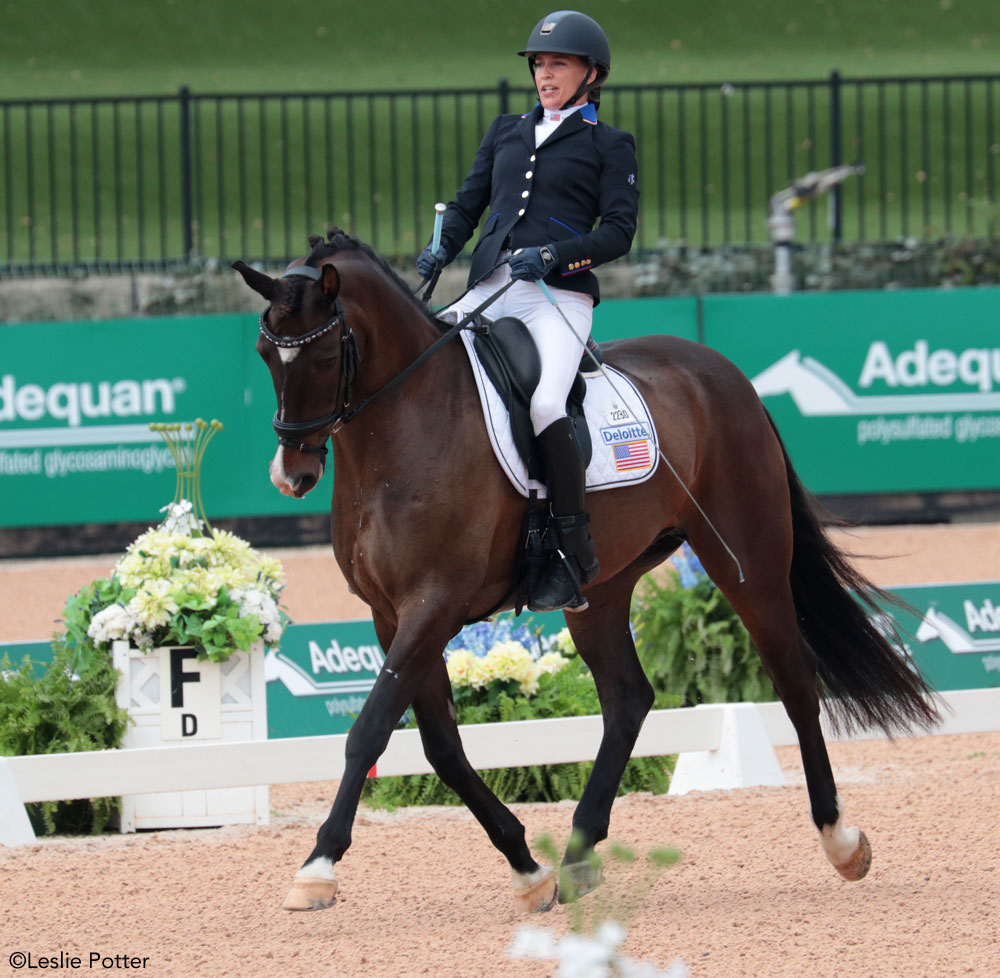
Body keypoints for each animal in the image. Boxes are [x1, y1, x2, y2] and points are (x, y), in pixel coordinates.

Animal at [232, 231, 936, 916]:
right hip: (601, 589)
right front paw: (527, 869)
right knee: (629, 698)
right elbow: (441, 747)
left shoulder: (433, 606)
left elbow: (371, 730)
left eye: (326, 357)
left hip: (750, 565)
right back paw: (575, 857)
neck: (405, 422)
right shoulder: (391, 615)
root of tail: (722, 372)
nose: (292, 475)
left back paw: (841, 841)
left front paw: (317, 867)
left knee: (794, 682)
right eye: (265, 353)